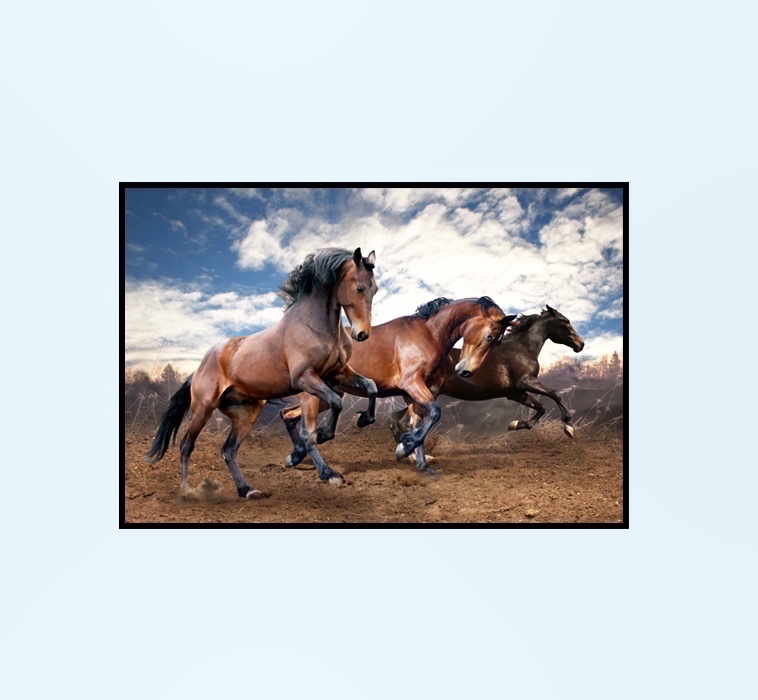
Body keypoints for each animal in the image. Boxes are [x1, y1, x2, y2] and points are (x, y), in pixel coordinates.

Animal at [144, 247, 378, 497]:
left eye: (375, 289)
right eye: (359, 287)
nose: (362, 334)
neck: (314, 326)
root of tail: (198, 369)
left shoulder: (338, 373)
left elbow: (370, 386)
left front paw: (363, 419)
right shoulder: (305, 379)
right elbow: (333, 404)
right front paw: (323, 441)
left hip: (246, 413)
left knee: (228, 450)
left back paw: (246, 490)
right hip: (203, 409)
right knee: (186, 445)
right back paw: (187, 490)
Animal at [279, 297, 516, 476]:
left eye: (497, 341)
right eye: (490, 336)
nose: (466, 371)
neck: (429, 334)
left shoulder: (414, 394)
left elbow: (419, 423)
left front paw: (423, 465)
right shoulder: (412, 384)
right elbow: (434, 413)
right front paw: (404, 449)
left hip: (326, 397)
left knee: (288, 415)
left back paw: (295, 457)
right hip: (313, 396)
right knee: (305, 432)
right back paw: (326, 471)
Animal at [390, 306, 585, 464]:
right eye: (565, 322)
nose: (580, 344)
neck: (522, 349)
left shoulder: (516, 392)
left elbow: (541, 407)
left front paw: (515, 424)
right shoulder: (526, 381)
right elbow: (554, 394)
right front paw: (568, 426)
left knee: (396, 420)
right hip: (429, 394)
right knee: (404, 422)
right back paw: (416, 457)